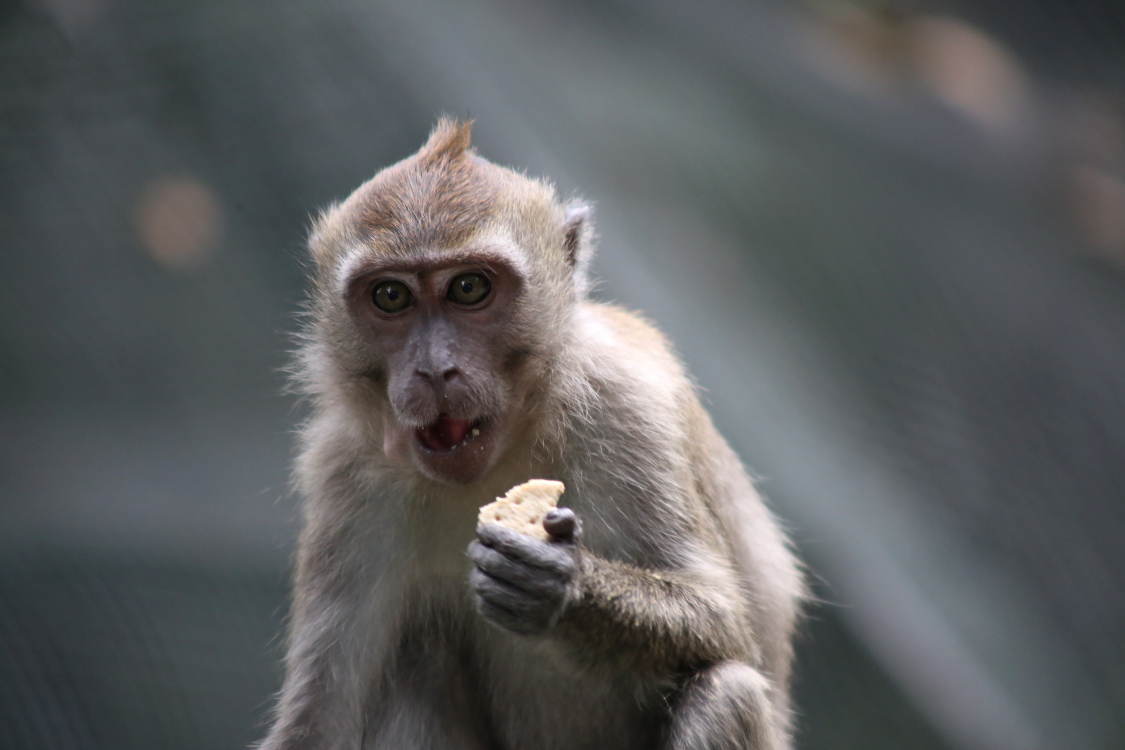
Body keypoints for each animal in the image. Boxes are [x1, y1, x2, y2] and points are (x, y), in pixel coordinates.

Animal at [259, 118, 806, 750]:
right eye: (391, 296)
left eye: (469, 288)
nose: (435, 370)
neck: (509, 447)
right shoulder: (342, 473)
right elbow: (318, 722)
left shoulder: (629, 408)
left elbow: (726, 621)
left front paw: (562, 584)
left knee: (728, 690)